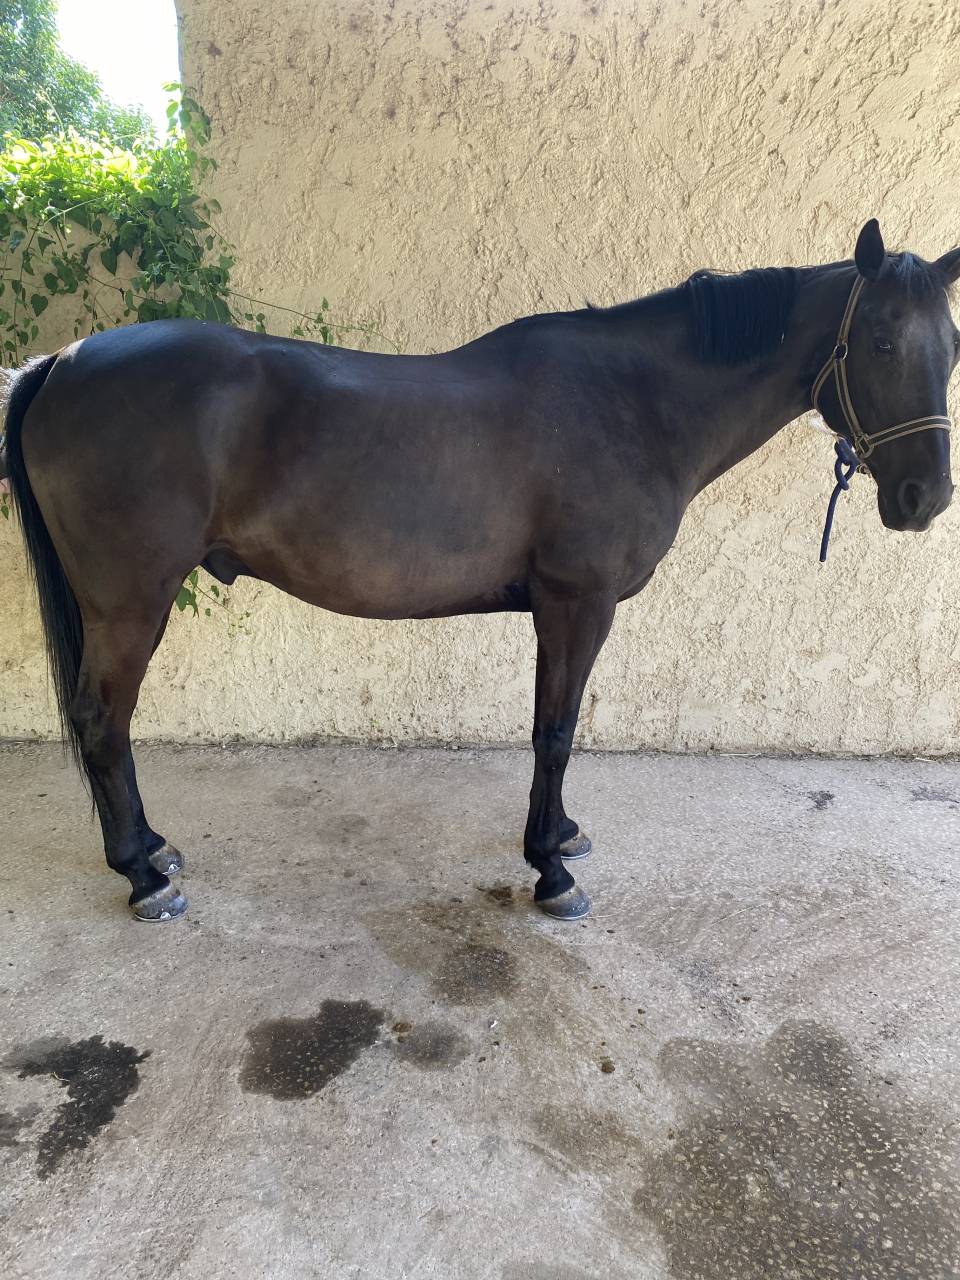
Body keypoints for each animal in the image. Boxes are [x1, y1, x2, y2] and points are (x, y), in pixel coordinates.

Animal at [4, 218, 958, 923]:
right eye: (878, 341)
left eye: (948, 346)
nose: (924, 498)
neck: (634, 401)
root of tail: (65, 359)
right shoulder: (577, 603)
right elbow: (556, 731)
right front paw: (551, 874)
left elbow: (555, 729)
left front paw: (560, 835)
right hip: (131, 601)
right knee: (103, 721)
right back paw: (144, 877)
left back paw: (153, 850)